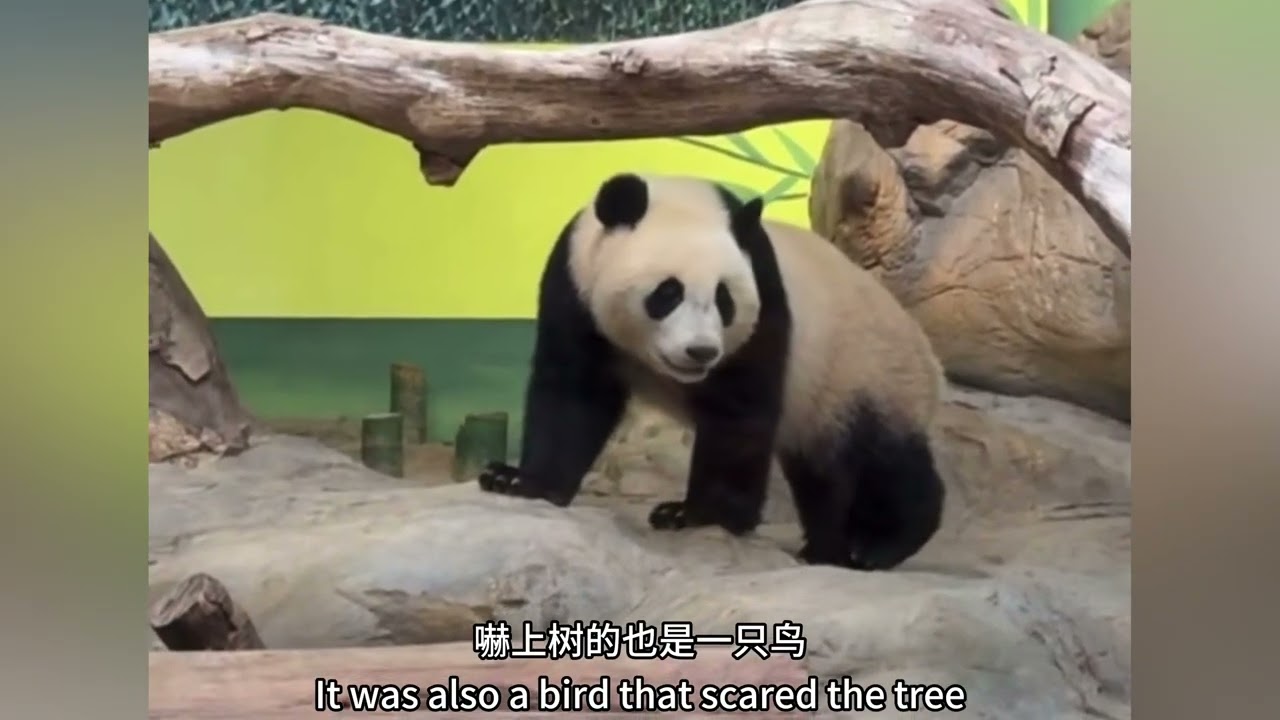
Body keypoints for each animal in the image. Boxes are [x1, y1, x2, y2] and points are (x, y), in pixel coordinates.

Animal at [478, 172, 947, 571]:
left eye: (725, 300)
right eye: (667, 292)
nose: (700, 351)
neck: (683, 199)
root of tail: (929, 356)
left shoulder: (765, 305)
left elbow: (738, 413)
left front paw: (698, 514)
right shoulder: (575, 285)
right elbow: (574, 392)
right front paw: (519, 480)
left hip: (866, 371)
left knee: (884, 461)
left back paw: (879, 543)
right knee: (821, 472)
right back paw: (826, 548)